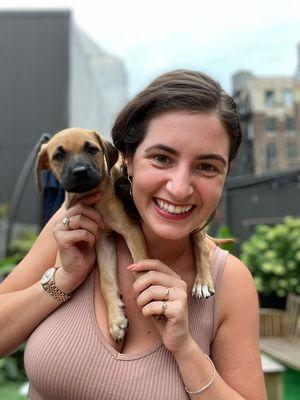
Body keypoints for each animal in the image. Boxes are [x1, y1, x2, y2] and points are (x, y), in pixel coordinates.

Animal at [35, 128, 216, 340]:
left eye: (91, 150)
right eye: (58, 155)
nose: (80, 172)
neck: (91, 197)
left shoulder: (130, 230)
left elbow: (142, 266)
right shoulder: (103, 241)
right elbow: (106, 282)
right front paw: (116, 318)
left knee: (201, 242)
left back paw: (203, 281)